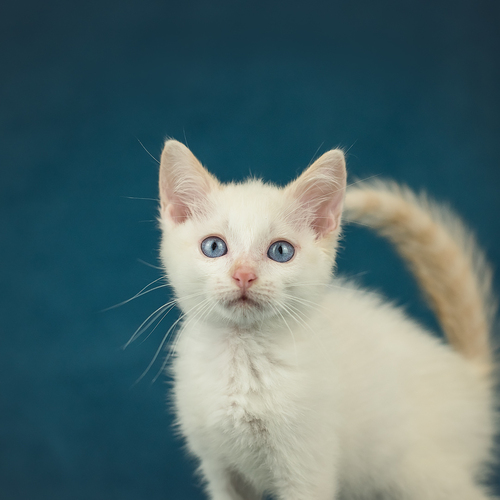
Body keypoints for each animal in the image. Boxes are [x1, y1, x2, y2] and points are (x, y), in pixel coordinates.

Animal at [157, 139, 497, 500]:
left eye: (281, 251)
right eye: (213, 246)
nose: (244, 275)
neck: (243, 358)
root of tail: (469, 374)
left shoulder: (307, 467)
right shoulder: (220, 469)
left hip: (421, 476)